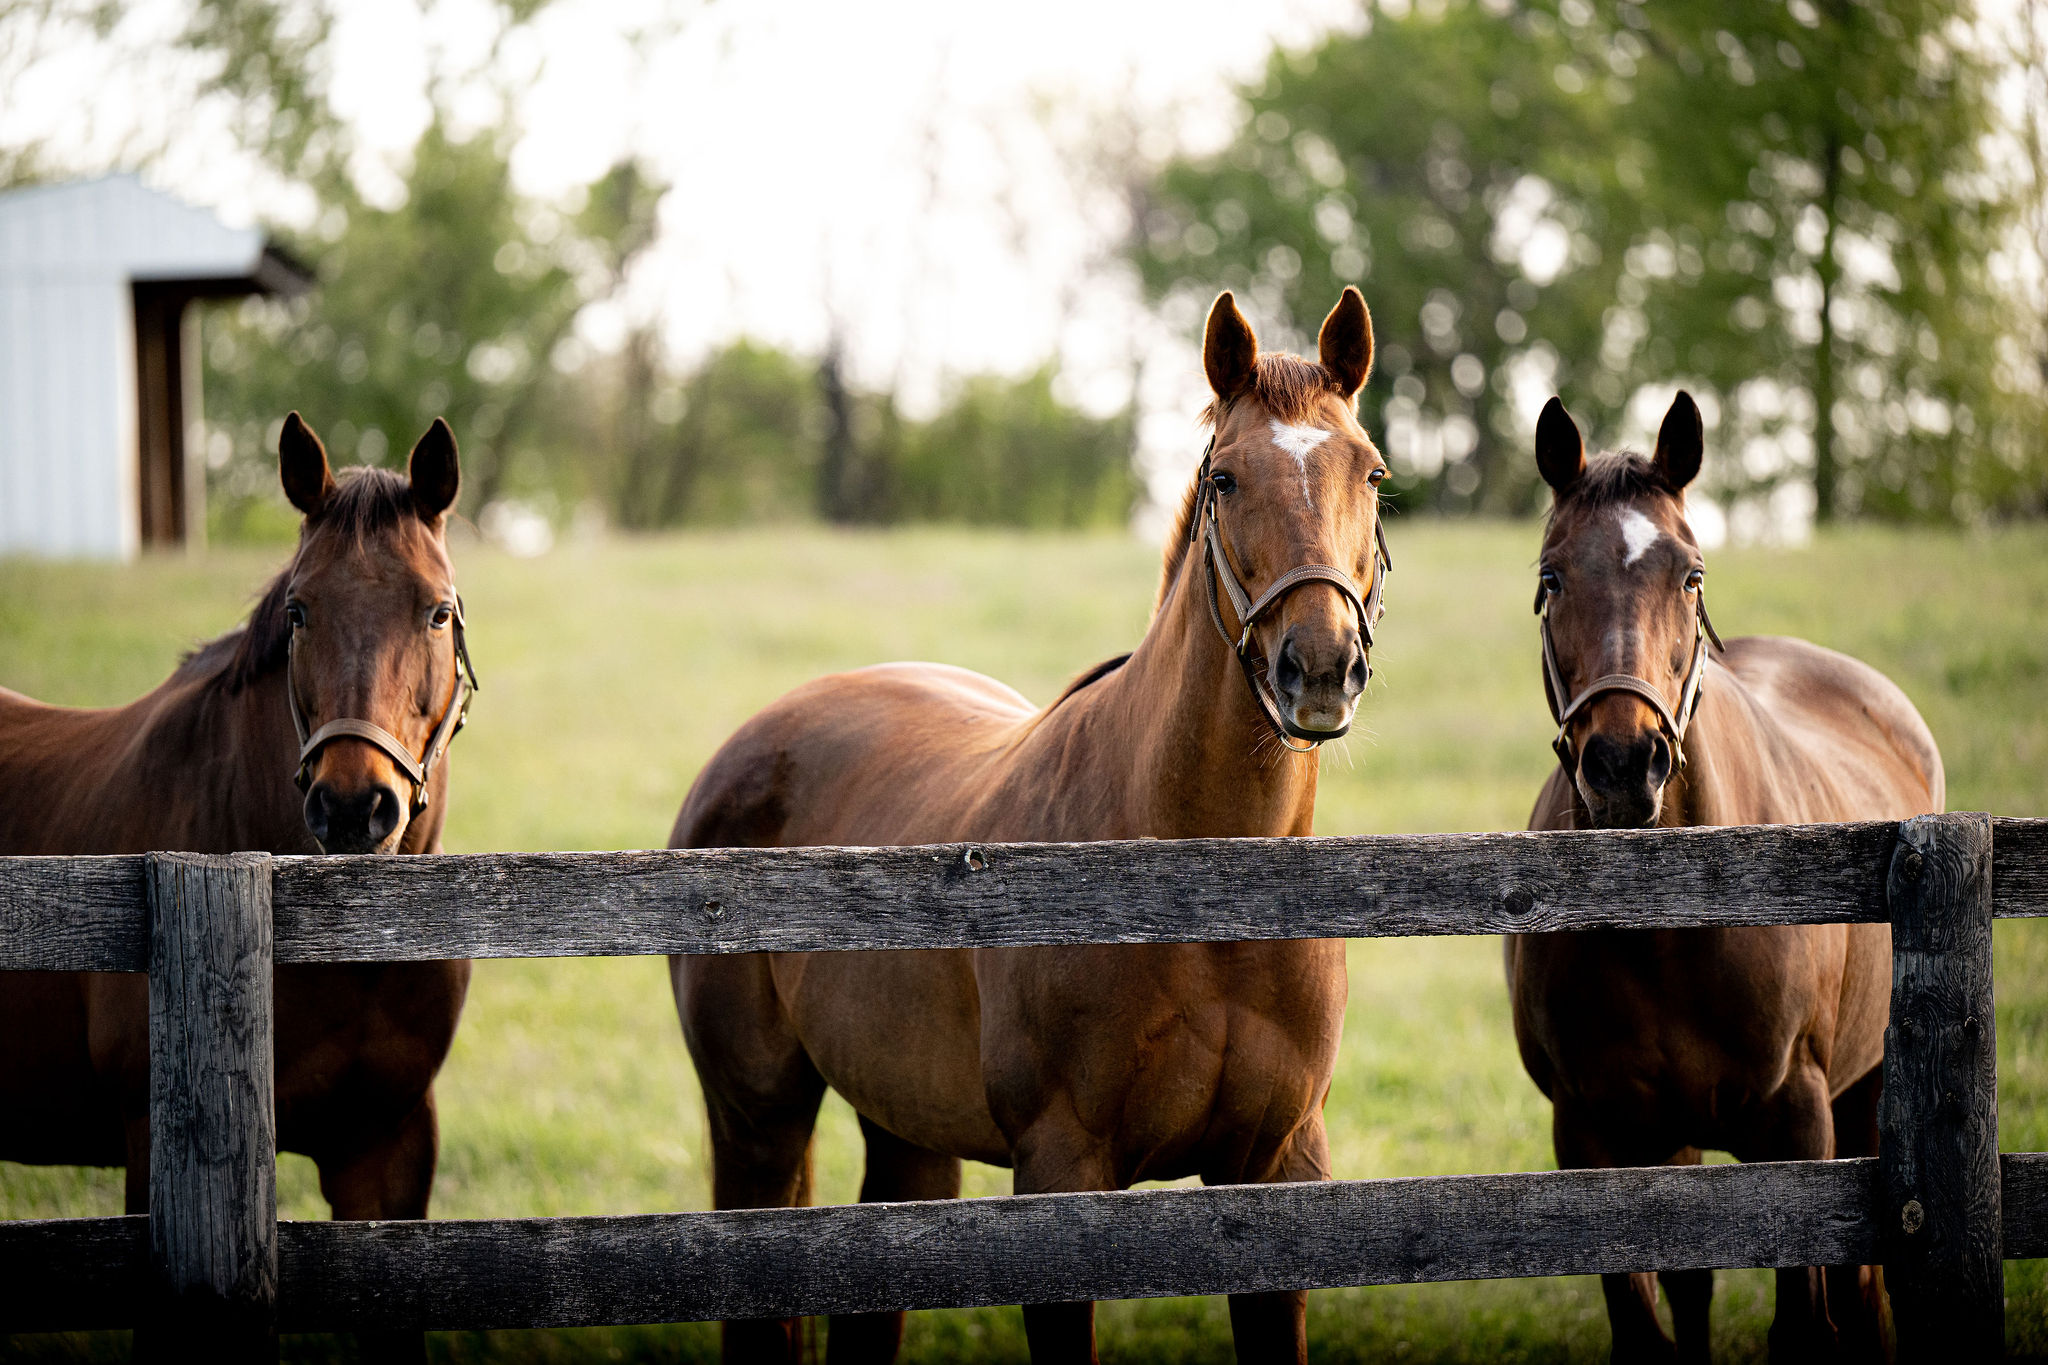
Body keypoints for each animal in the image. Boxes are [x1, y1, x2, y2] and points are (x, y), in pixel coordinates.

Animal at [670, 288, 1390, 1365]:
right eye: (1223, 477)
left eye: (1371, 471)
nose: (1320, 667)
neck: (1201, 893)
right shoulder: (1060, 1172)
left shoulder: (1279, 1165)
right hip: (758, 1121)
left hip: (905, 1134)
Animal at [1504, 392, 1943, 1362]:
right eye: (1552, 578)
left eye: (1691, 575)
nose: (1623, 763)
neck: (1672, 923)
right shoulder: (1591, 1134)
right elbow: (1655, 1319)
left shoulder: (1798, 1126)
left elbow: (1806, 1319)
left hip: (1867, 1090)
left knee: (1864, 1293)